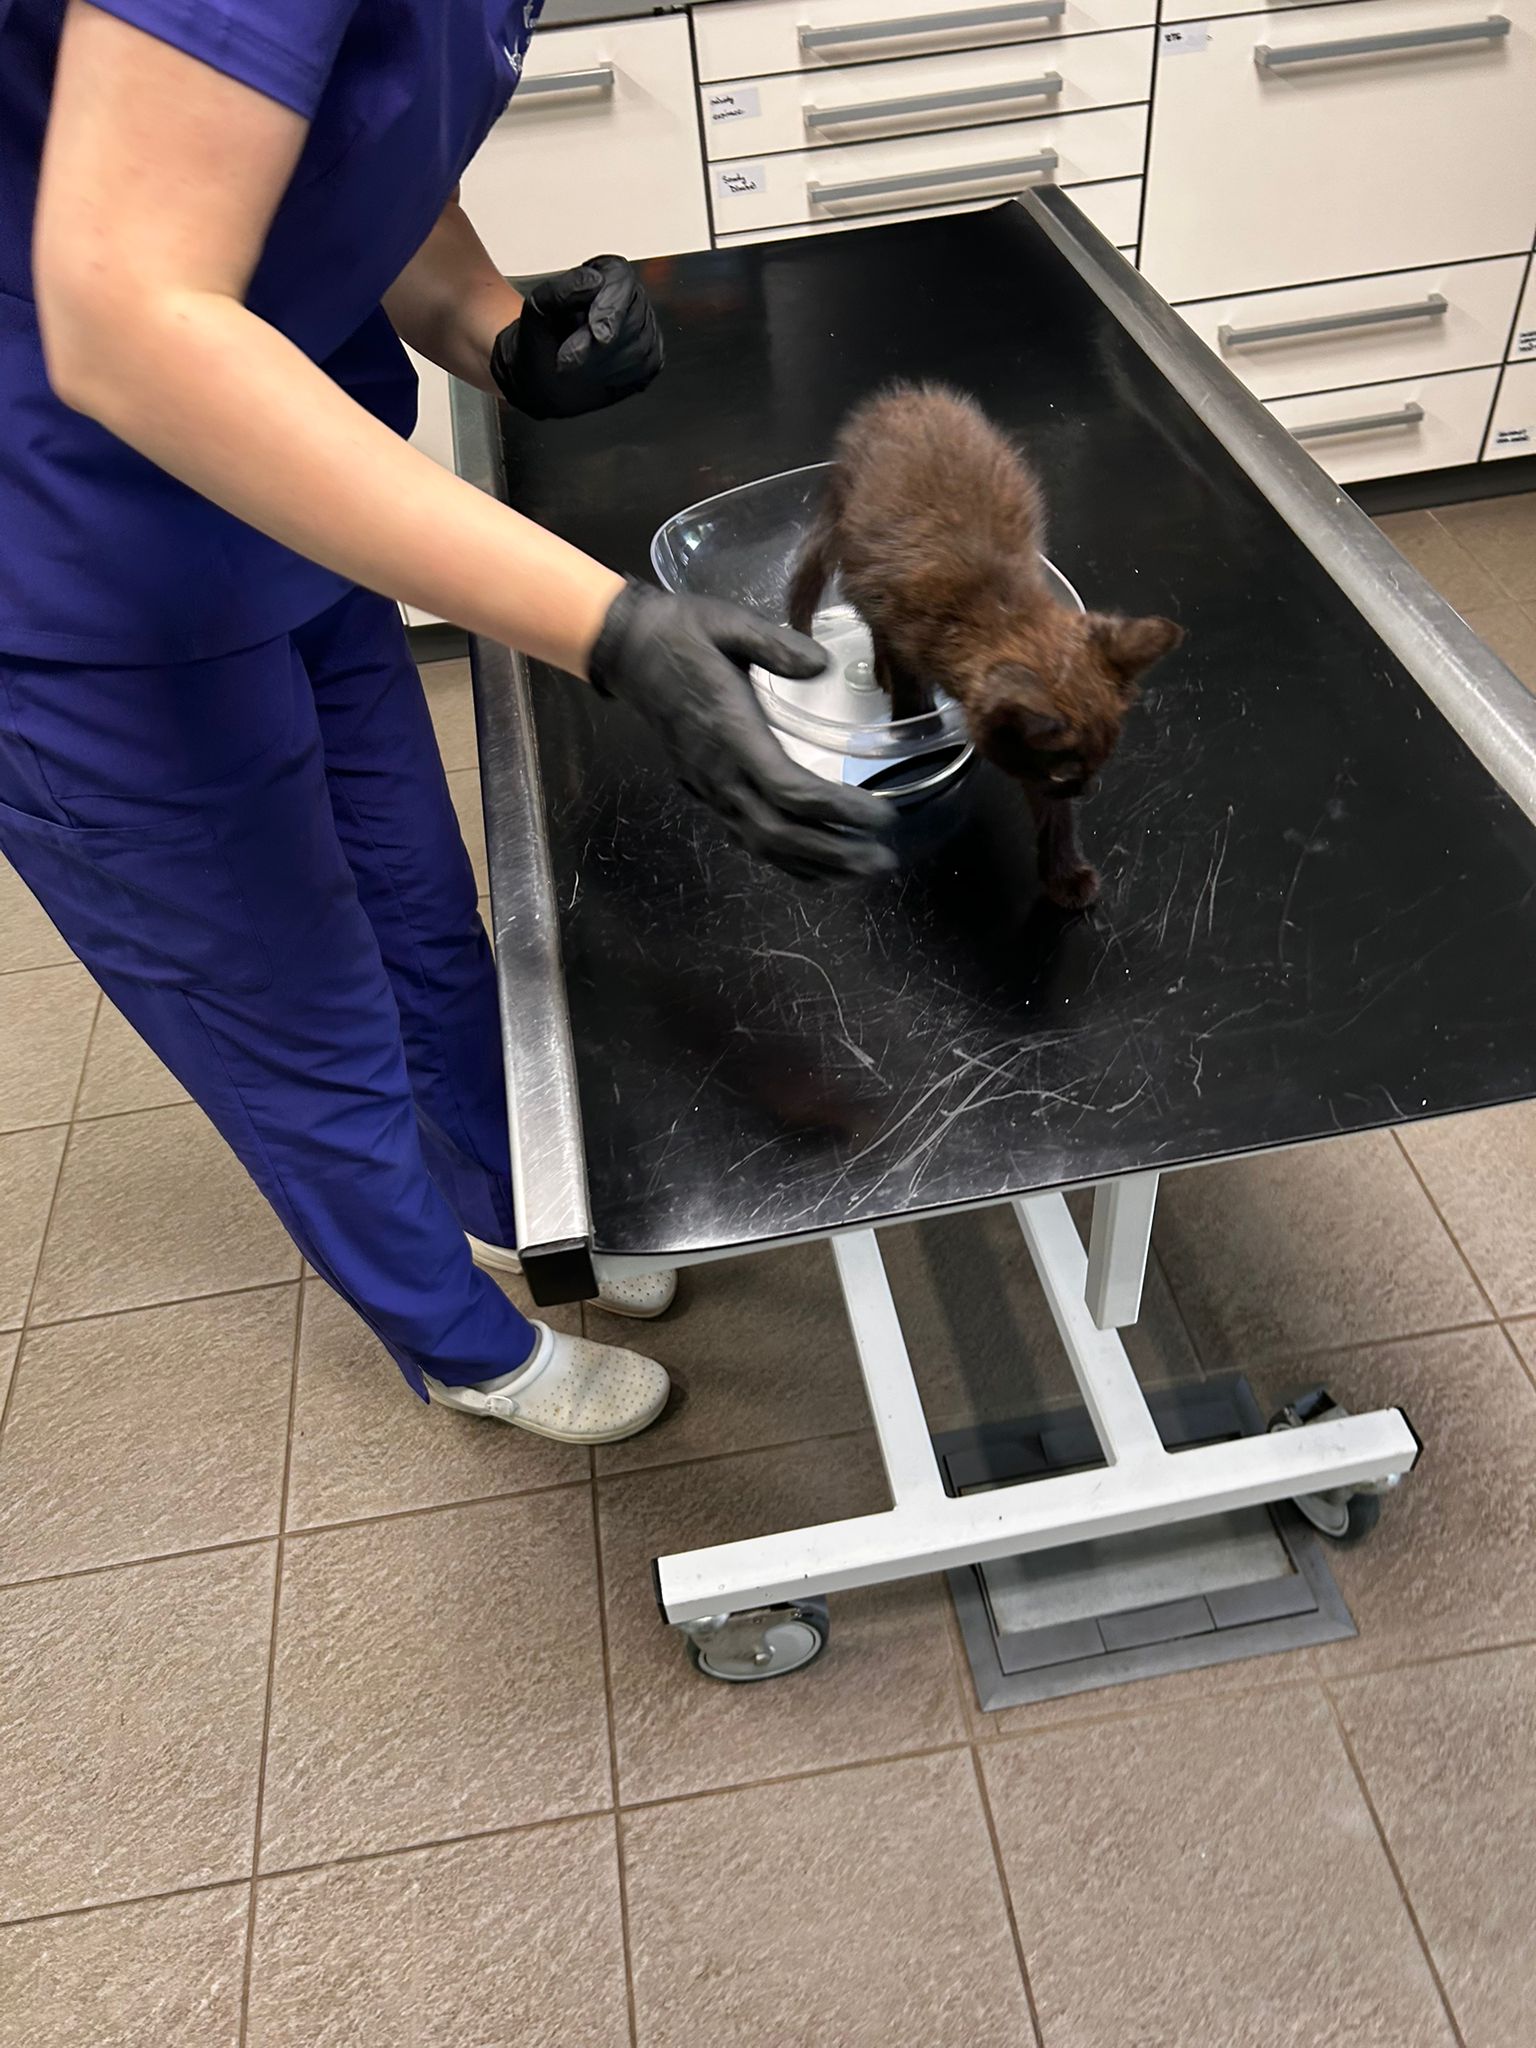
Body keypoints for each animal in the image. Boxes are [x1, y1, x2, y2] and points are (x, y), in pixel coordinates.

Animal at [786, 382, 1184, 910]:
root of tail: (903, 395)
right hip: (853, 543)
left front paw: (1063, 874)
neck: (997, 607)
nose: (1087, 789)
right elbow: (910, 690)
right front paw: (913, 733)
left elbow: (1051, 817)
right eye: (1066, 774)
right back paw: (882, 674)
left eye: (1099, 763)